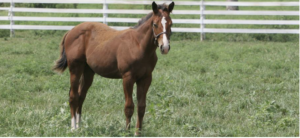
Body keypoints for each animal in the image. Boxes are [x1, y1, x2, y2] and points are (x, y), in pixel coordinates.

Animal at [52, 0, 175, 135]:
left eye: (171, 23)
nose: (165, 47)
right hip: (75, 68)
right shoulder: (128, 78)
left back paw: (80, 127)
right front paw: (126, 132)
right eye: (155, 24)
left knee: (81, 96)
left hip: (88, 71)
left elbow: (141, 107)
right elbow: (129, 107)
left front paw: (137, 133)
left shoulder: (146, 78)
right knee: (73, 96)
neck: (139, 45)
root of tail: (70, 31)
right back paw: (73, 128)